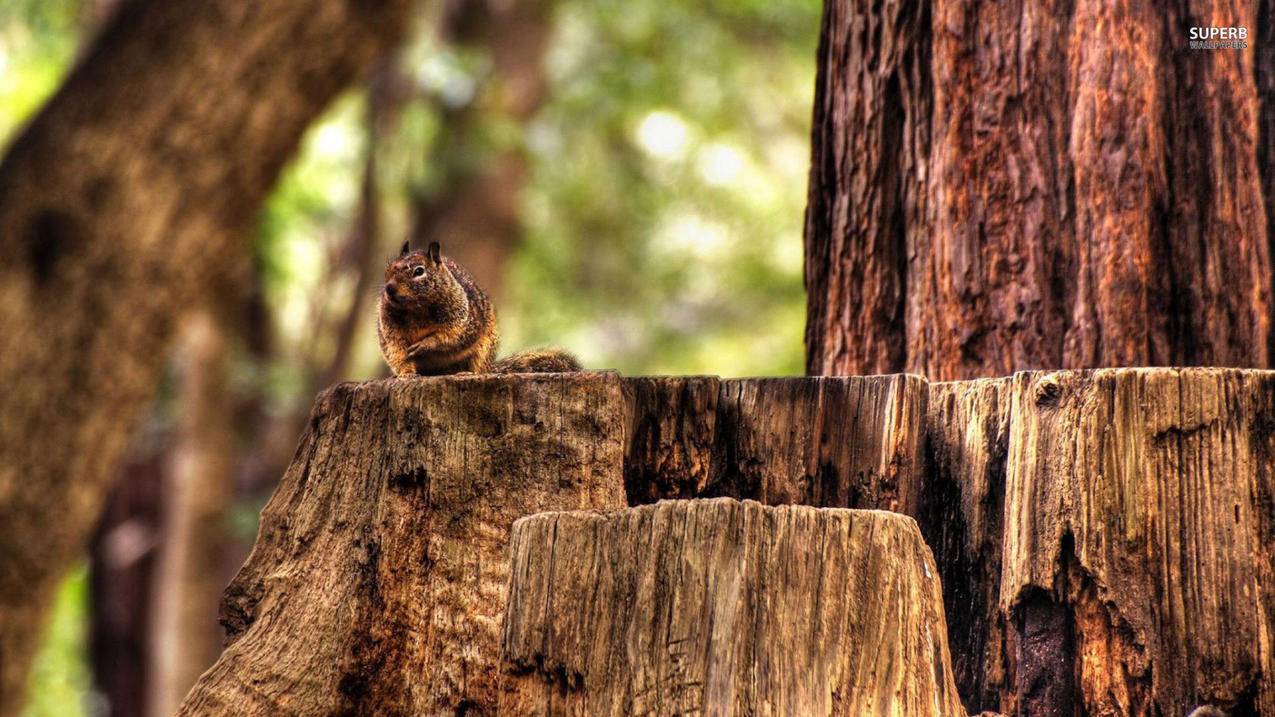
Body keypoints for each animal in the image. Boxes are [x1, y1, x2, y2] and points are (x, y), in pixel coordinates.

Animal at [374, 238, 581, 377]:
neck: (416, 308)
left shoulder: (462, 318)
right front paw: (406, 374)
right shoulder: (389, 329)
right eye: (388, 268)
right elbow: (397, 351)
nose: (389, 289)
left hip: (485, 348)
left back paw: (466, 373)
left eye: (419, 271)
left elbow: (450, 337)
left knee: (477, 367)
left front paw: (425, 345)